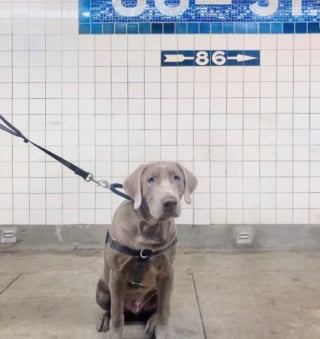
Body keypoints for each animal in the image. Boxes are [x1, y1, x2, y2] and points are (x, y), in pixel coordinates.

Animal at [95, 162, 198, 339]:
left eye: (177, 178)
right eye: (150, 180)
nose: (170, 202)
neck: (149, 229)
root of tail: (135, 309)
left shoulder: (166, 272)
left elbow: (164, 311)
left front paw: (161, 332)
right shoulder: (117, 274)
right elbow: (116, 313)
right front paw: (115, 333)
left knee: (157, 309)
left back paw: (152, 323)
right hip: (102, 288)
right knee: (112, 308)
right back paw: (104, 319)